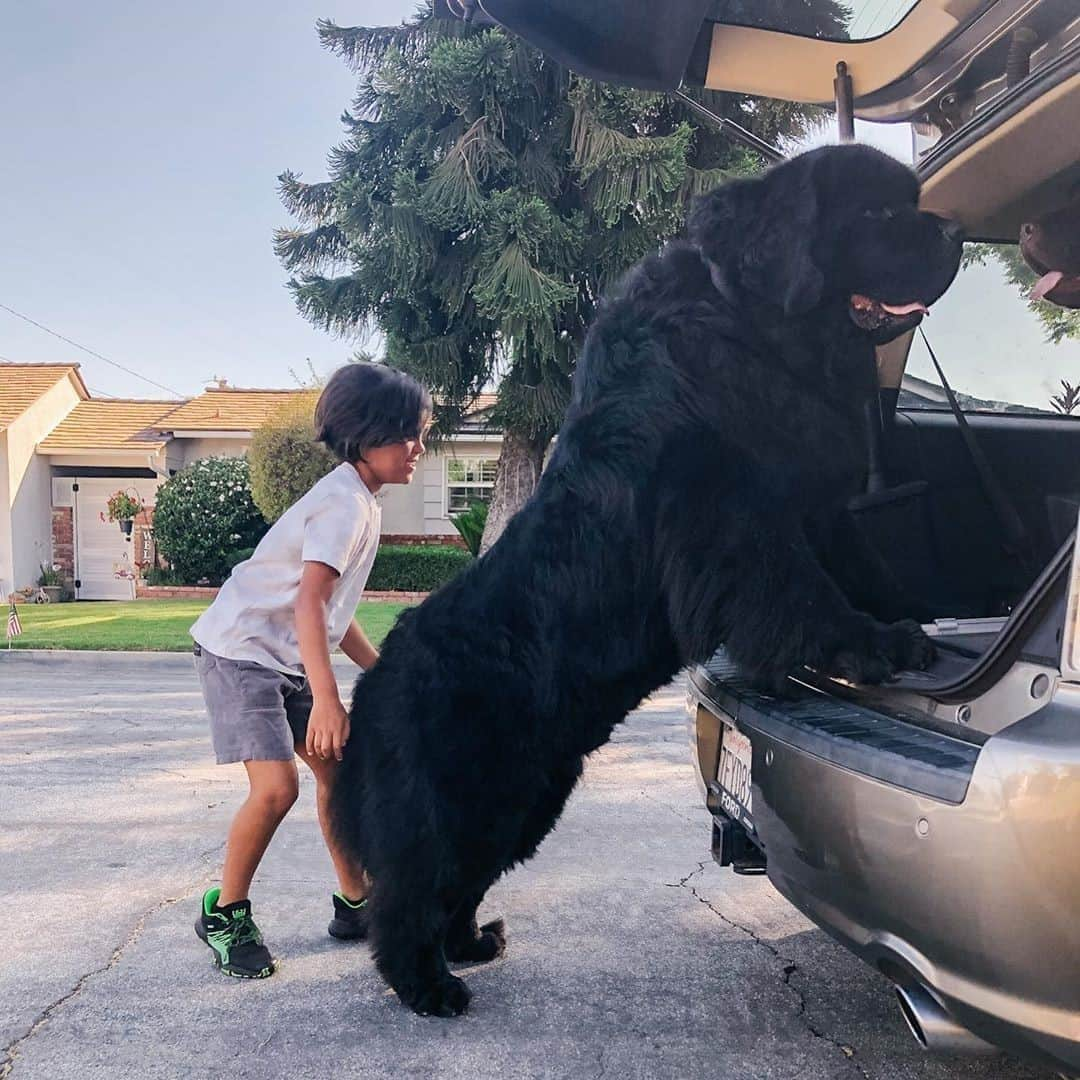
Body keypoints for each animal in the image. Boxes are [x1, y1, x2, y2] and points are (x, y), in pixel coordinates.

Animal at [334, 145, 963, 1019]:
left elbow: (838, 571)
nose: (956, 232)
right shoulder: (733, 515)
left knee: (459, 883)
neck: (748, 319)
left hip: (523, 799)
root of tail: (370, 686)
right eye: (876, 213)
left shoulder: (794, 509)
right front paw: (877, 645)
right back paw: (429, 987)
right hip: (455, 800)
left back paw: (471, 945)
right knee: (410, 894)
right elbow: (800, 588)